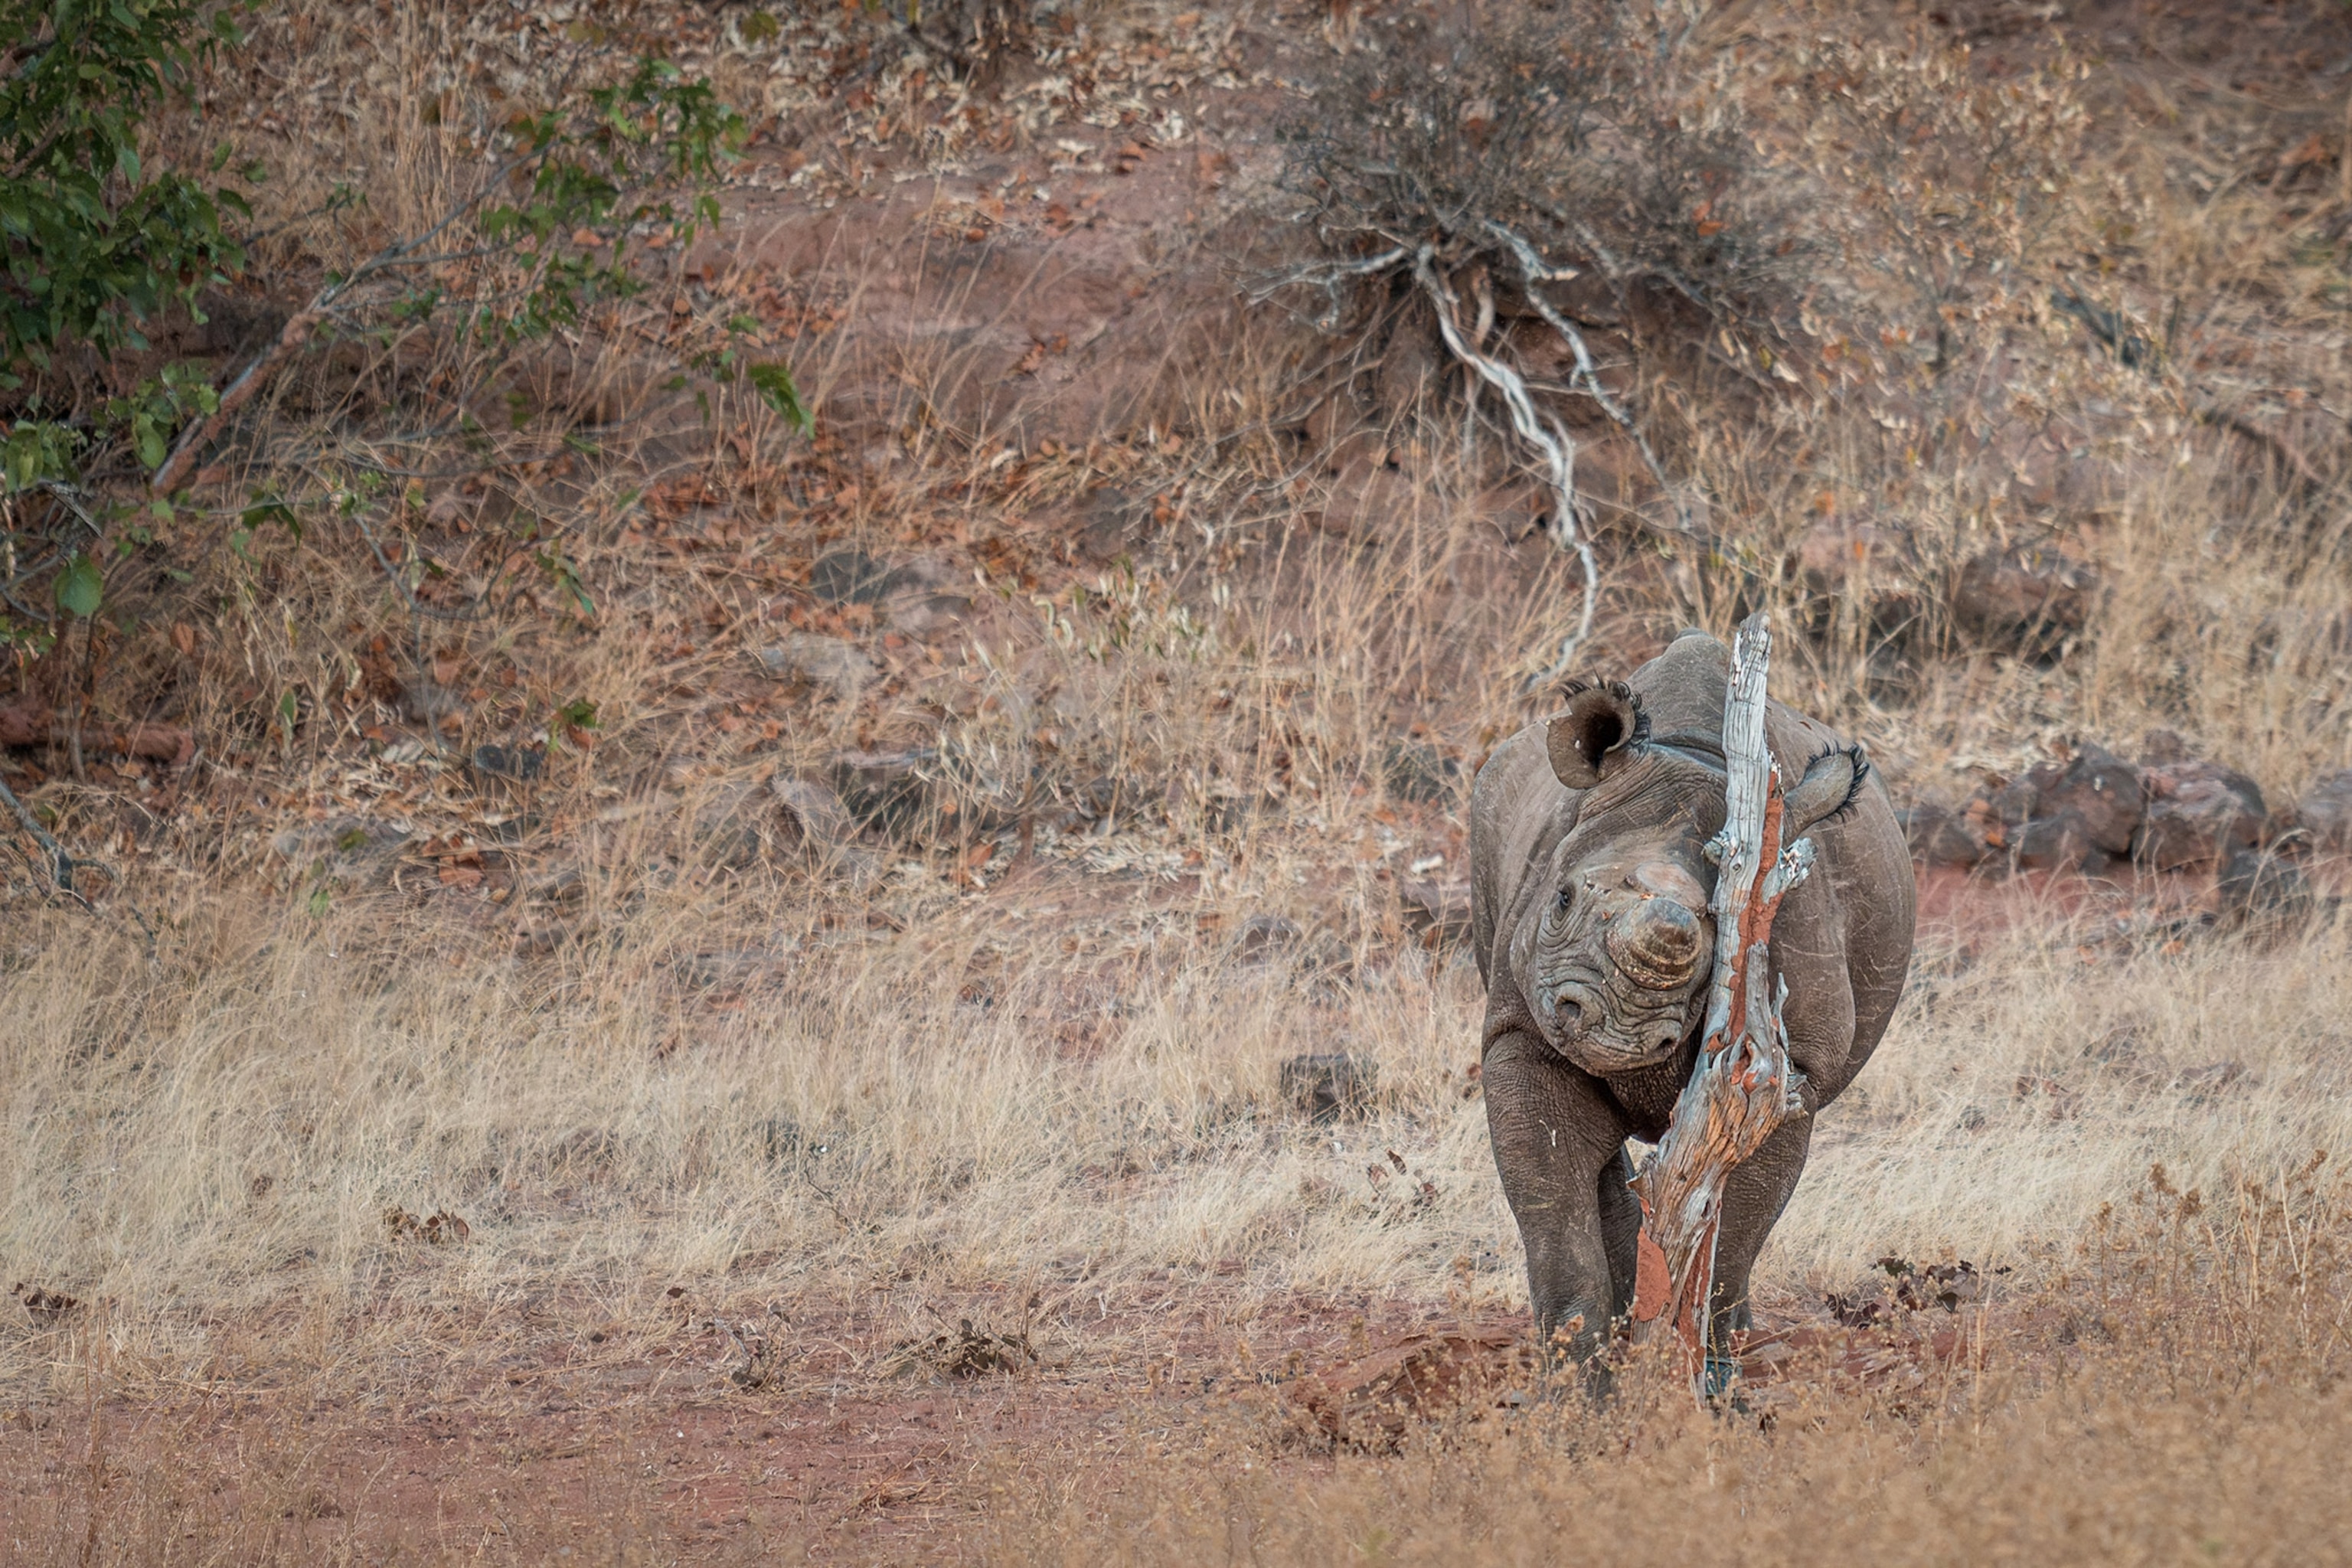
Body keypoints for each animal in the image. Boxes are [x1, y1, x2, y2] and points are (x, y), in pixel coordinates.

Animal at [1468, 629, 1916, 1366]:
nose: (1613, 1033)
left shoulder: (1790, 1071)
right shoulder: (1520, 1028)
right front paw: (1578, 1382)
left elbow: (1734, 1238)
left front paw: (1704, 1370)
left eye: (1721, 938)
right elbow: (1555, 1222)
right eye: (1561, 899)